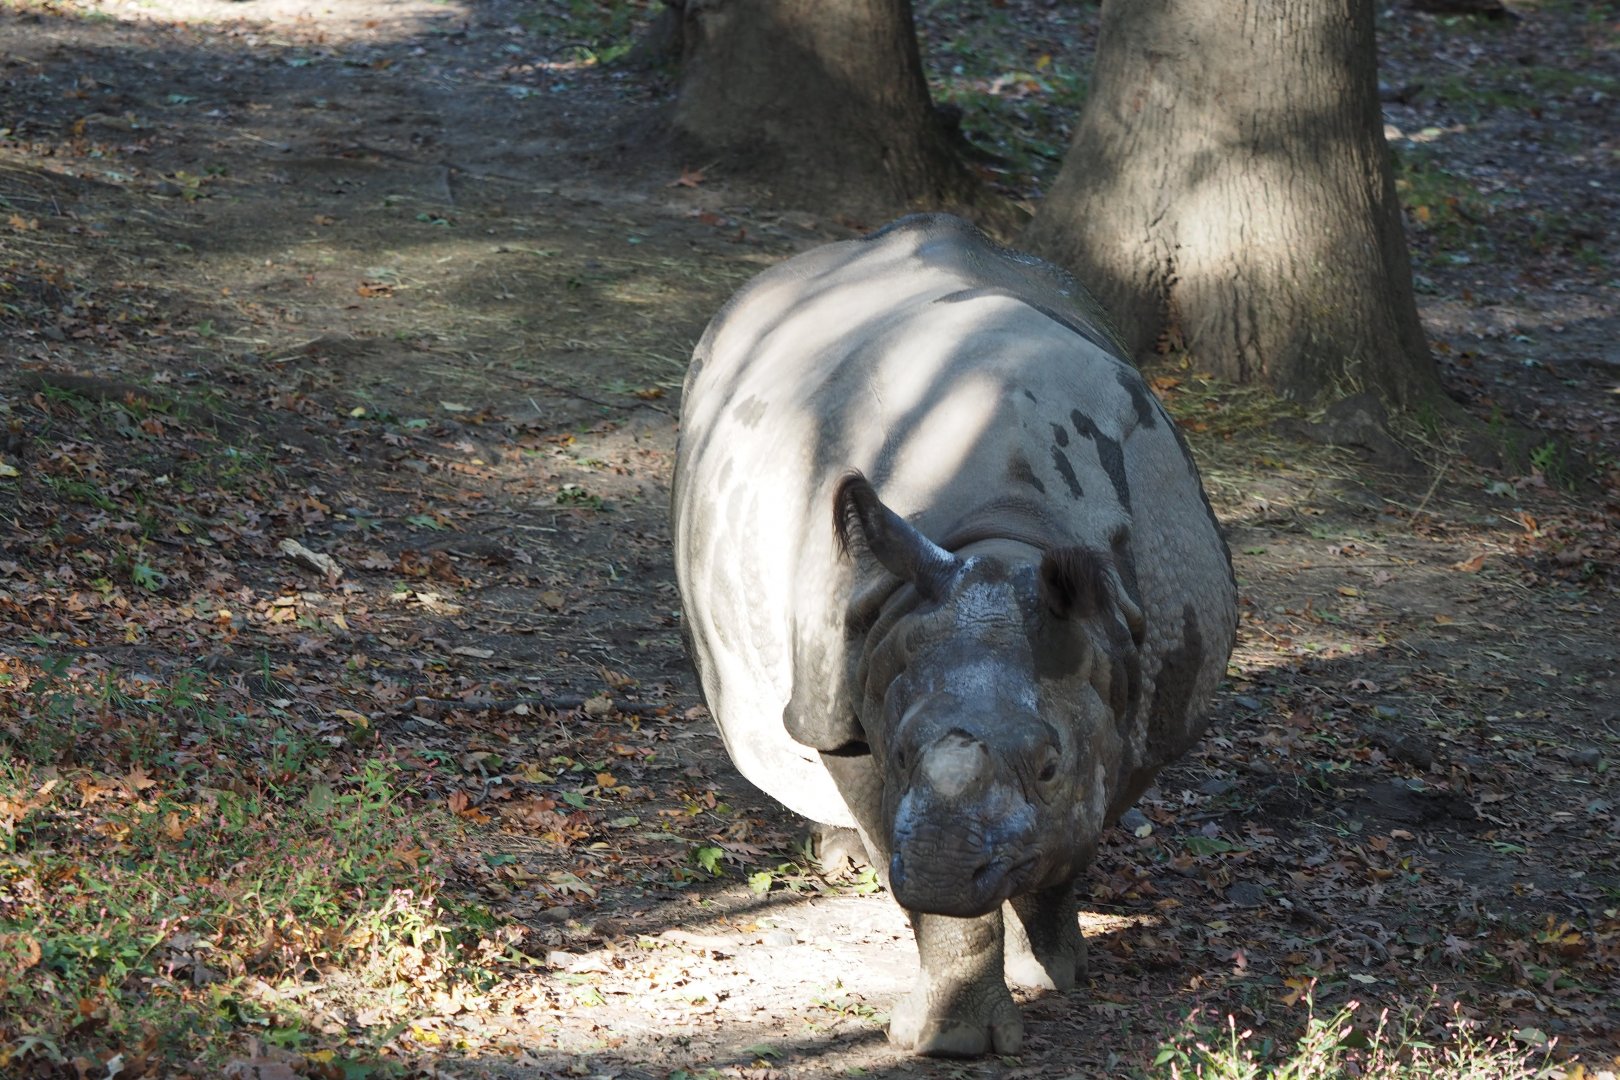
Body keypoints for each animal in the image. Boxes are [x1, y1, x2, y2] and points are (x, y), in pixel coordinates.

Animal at [670, 214, 1236, 1057]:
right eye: (902, 753)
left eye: (1049, 764)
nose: (942, 868)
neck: (1009, 544)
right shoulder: (863, 684)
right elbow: (928, 892)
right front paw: (948, 1042)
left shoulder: (1140, 687)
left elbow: (1077, 835)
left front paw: (1053, 974)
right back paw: (842, 861)